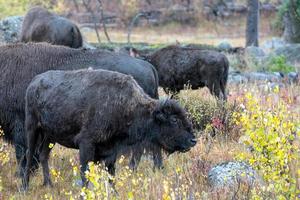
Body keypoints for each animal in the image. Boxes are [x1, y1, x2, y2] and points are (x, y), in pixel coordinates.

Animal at [23, 69, 197, 189]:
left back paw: (49, 184)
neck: (127, 107)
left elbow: (111, 176)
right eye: (174, 119)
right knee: (30, 154)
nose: (193, 140)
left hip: (50, 136)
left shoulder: (111, 150)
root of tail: (34, 82)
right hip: (32, 128)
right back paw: (25, 186)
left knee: (43, 155)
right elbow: (85, 174)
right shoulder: (86, 144)